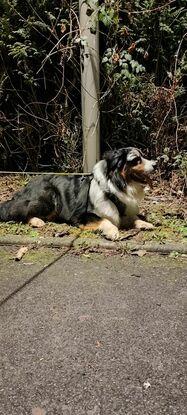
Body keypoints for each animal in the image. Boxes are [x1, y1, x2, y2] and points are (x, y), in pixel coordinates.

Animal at [0, 149, 156, 240]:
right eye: (136, 159)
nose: (155, 164)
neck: (114, 184)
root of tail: (25, 187)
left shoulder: (121, 210)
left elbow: (132, 217)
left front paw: (145, 223)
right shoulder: (79, 216)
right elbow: (105, 220)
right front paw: (113, 232)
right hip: (51, 197)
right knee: (20, 210)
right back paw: (36, 221)